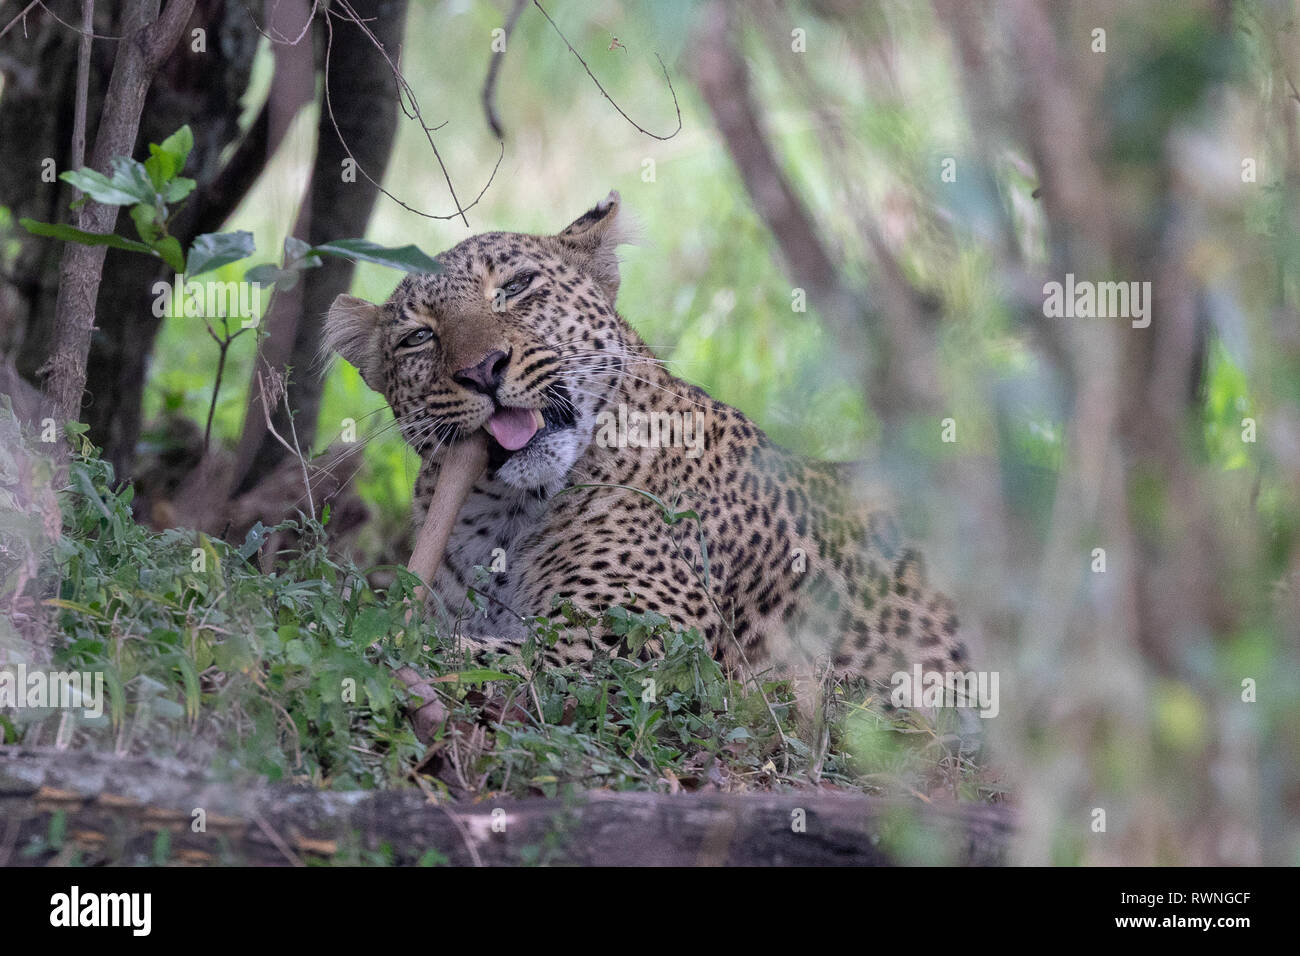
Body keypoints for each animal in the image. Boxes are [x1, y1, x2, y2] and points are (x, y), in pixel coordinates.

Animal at [325, 191, 977, 707]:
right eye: (418, 337)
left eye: (515, 287)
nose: (483, 369)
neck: (503, 517)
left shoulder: (631, 645)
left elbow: (439, 649)